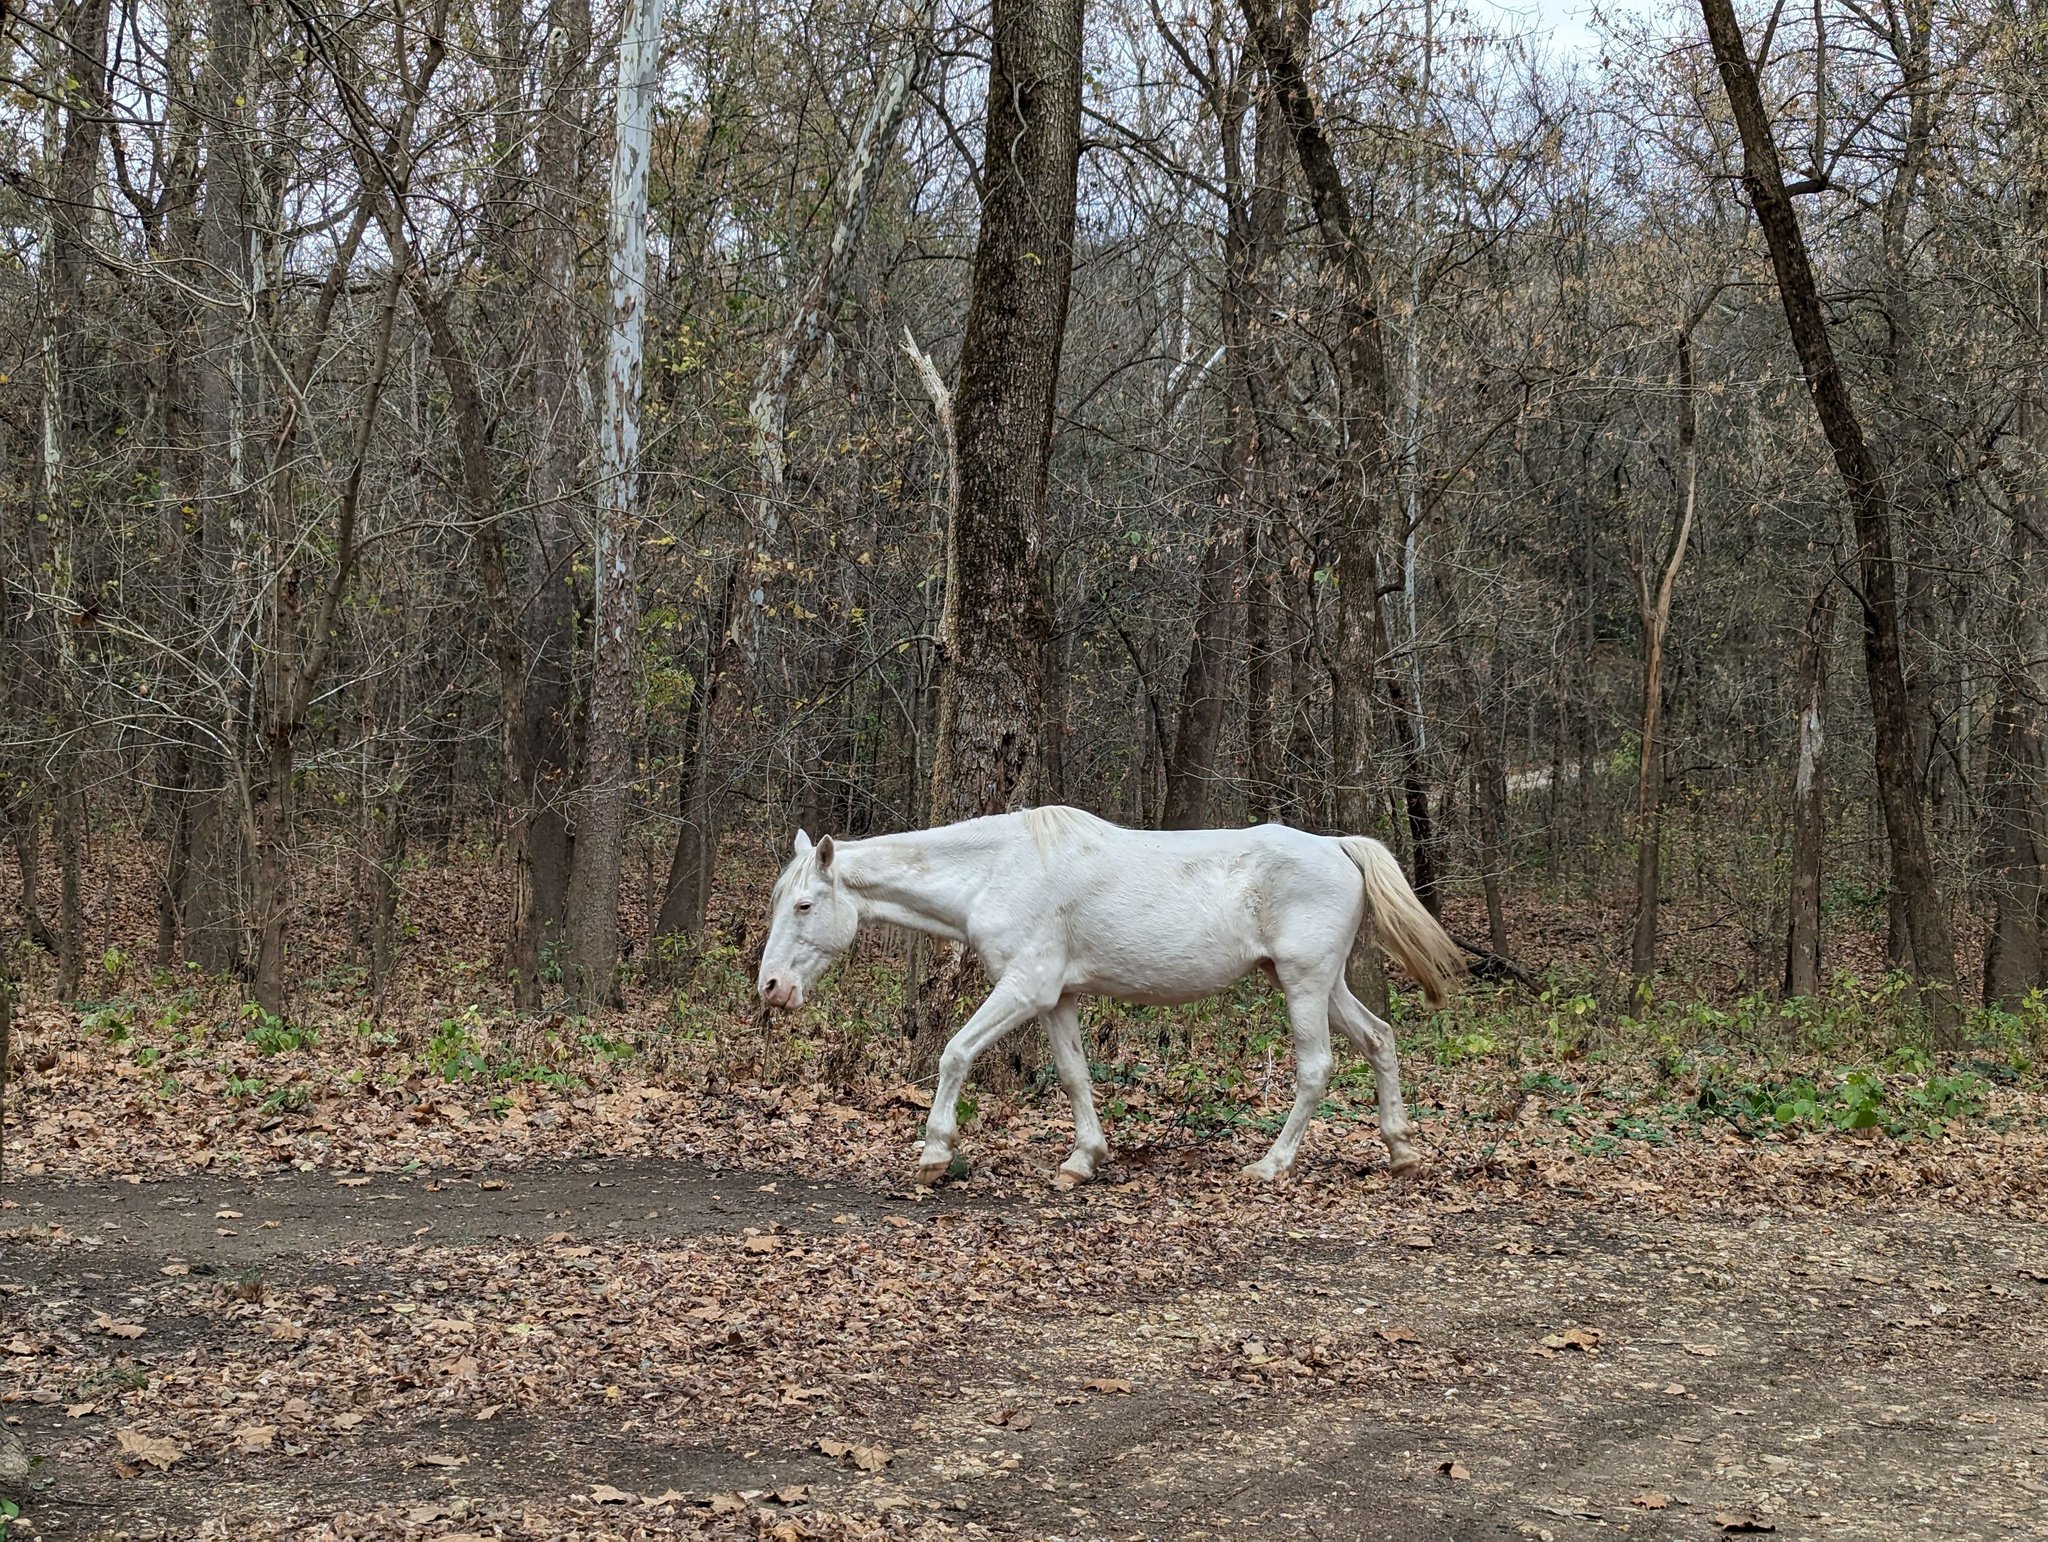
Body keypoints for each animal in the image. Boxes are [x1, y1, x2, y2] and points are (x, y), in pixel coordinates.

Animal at [755, 806, 1463, 1187]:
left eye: (804, 904)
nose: (771, 987)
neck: (998, 872)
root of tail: (1338, 846)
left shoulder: (1023, 988)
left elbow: (955, 1053)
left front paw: (934, 1153)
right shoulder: (1056, 998)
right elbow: (1075, 1076)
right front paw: (1083, 1160)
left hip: (1305, 983)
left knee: (1315, 1069)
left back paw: (1271, 1165)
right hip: (1324, 982)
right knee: (1380, 1040)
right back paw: (1401, 1150)